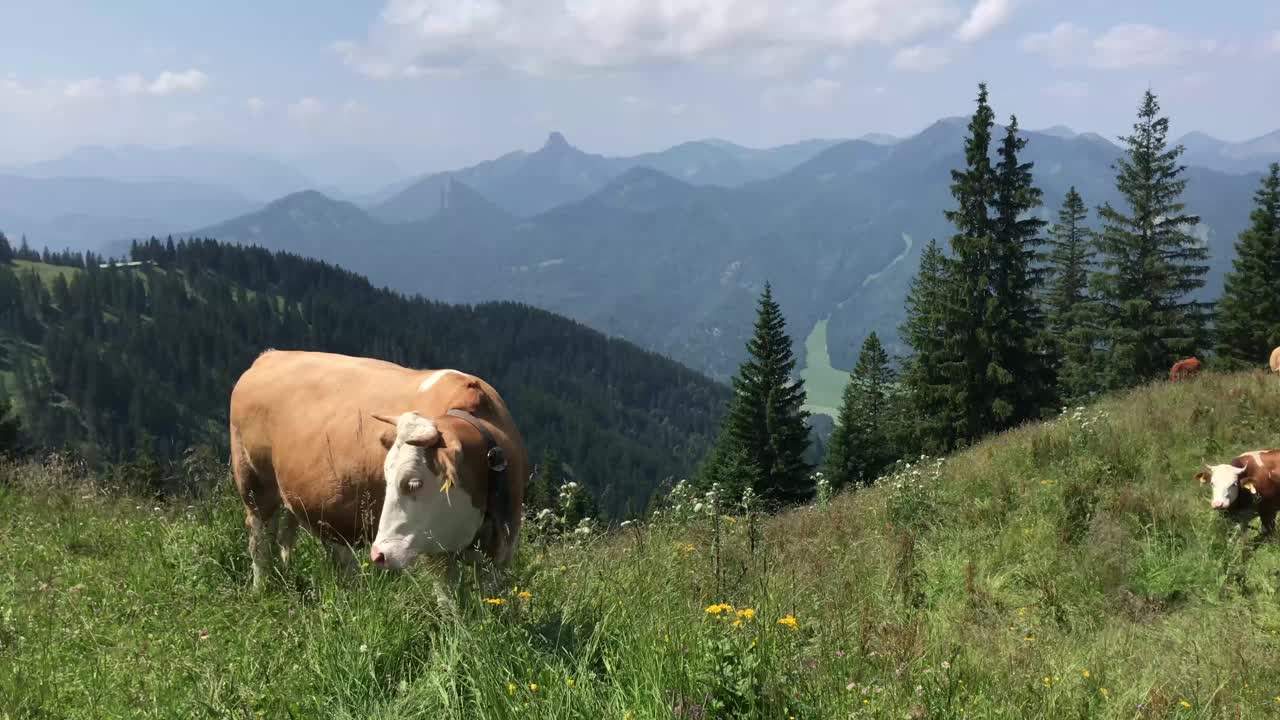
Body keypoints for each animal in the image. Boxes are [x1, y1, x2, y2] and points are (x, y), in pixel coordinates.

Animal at [227, 345, 527, 589]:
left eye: (413, 482)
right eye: (387, 477)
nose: (379, 554)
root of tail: (269, 356)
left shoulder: (504, 543)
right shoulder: (433, 550)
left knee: (307, 543)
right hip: (255, 485)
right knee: (260, 541)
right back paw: (262, 588)